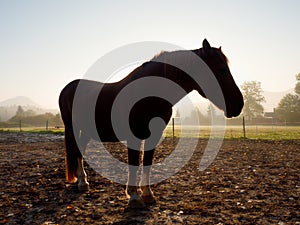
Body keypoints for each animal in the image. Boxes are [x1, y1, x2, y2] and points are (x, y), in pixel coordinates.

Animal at [58, 39, 244, 209]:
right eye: (220, 69)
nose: (239, 104)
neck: (148, 94)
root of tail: (68, 88)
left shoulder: (154, 136)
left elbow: (147, 162)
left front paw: (147, 194)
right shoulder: (133, 137)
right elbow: (134, 164)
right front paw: (134, 197)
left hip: (87, 130)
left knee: (80, 151)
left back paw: (82, 181)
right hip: (72, 128)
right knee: (77, 152)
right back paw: (82, 183)